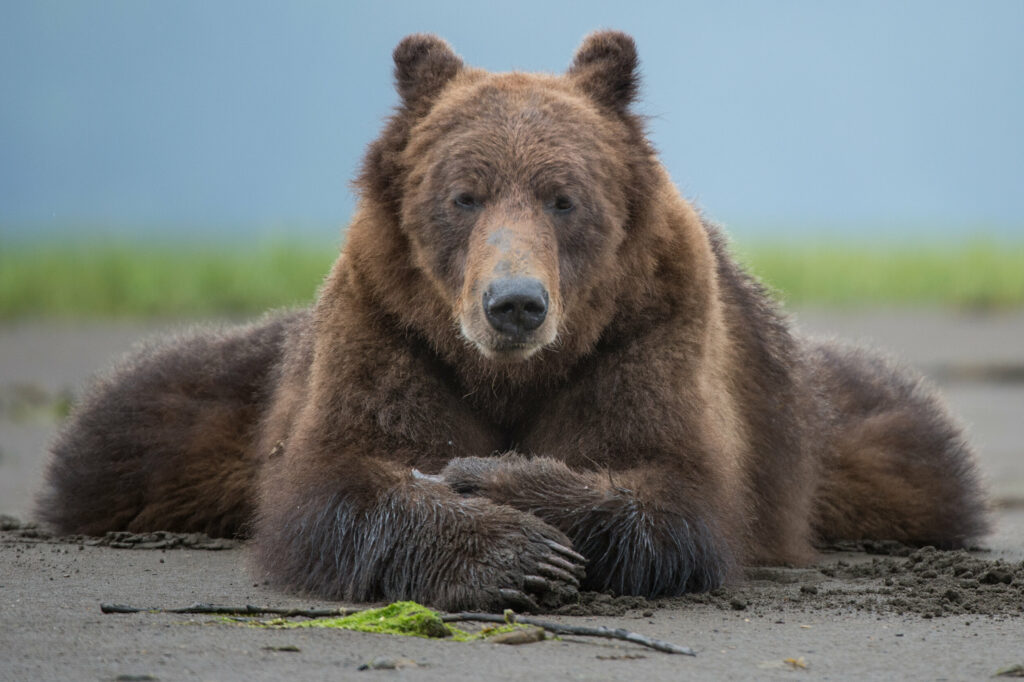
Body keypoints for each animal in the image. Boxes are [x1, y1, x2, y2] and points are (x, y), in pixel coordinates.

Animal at [36, 31, 987, 606]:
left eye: (564, 197)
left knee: (911, 447)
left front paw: (496, 481)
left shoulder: (650, 334)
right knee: (131, 428)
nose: (516, 303)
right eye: (465, 193)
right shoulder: (391, 329)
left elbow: (671, 486)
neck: (507, 372)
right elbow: (337, 474)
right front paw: (512, 557)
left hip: (835, 427)